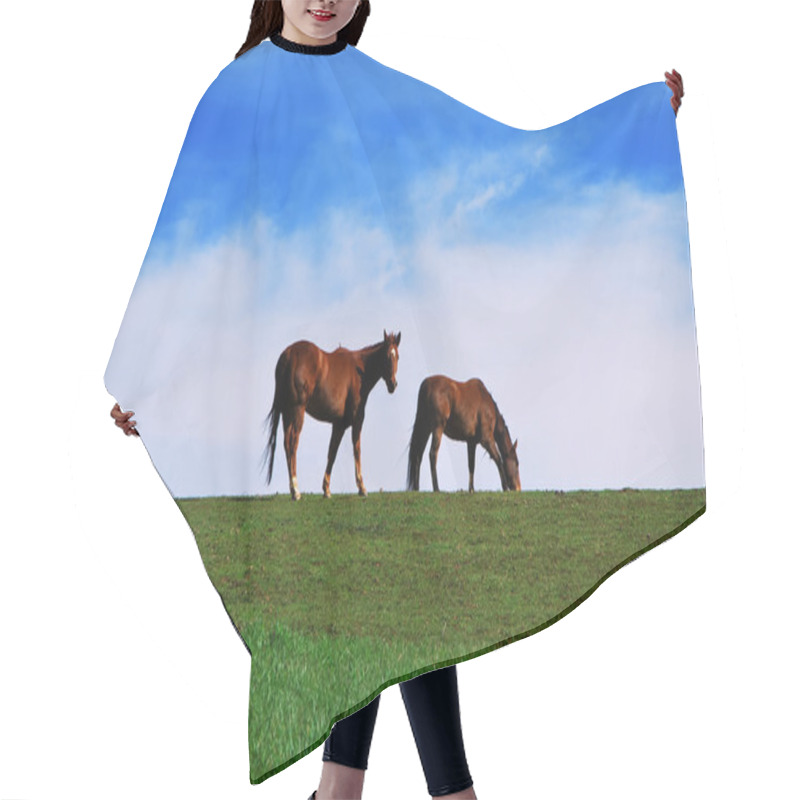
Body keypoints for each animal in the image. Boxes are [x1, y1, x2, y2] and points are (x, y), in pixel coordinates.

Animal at [264, 328, 400, 496]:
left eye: (398, 356)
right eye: (387, 356)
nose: (393, 384)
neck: (360, 371)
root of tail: (288, 355)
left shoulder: (339, 424)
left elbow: (332, 453)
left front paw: (326, 488)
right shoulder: (357, 420)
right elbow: (357, 449)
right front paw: (361, 487)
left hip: (287, 414)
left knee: (286, 444)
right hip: (297, 411)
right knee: (292, 443)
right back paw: (295, 489)